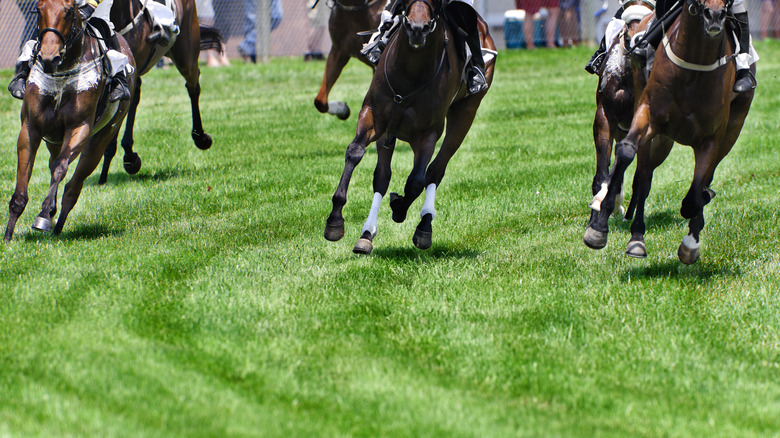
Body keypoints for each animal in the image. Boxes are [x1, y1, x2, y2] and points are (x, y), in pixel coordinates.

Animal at [3, 0, 136, 241]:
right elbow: (23, 179)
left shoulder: (79, 128)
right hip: (53, 140)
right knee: (53, 164)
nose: (48, 58)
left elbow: (60, 167)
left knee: (73, 187)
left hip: (101, 138)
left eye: (67, 12)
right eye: (39, 10)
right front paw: (8, 236)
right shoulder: (30, 128)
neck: (62, 73)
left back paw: (57, 226)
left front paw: (43, 216)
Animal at [322, 0, 494, 253]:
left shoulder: (428, 134)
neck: (411, 71)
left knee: (435, 170)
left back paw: (425, 223)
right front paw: (335, 219)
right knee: (382, 176)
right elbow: (355, 153)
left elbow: (415, 182)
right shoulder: (374, 117)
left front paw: (400, 208)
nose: (417, 28)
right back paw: (367, 233)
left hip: (465, 114)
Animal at [584, 0, 756, 264]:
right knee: (639, 177)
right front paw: (598, 222)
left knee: (693, 181)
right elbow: (616, 165)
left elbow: (696, 190)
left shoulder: (712, 137)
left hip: (723, 131)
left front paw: (691, 240)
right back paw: (632, 231)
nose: (714, 16)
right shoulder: (619, 116)